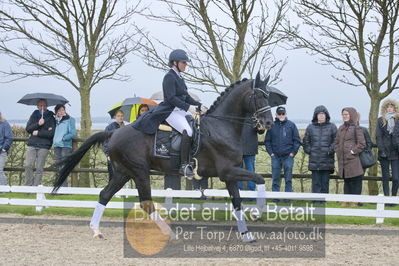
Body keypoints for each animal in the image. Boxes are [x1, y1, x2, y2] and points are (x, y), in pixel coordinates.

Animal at [53, 71, 276, 242]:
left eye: (269, 96)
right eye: (258, 96)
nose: (268, 123)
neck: (222, 126)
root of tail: (113, 133)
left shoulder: (230, 174)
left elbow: (238, 201)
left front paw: (246, 234)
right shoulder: (227, 171)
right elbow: (259, 179)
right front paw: (257, 212)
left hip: (123, 172)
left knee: (104, 195)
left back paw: (96, 230)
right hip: (139, 171)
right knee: (146, 202)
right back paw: (170, 234)